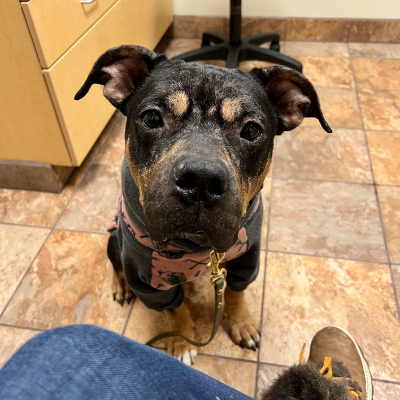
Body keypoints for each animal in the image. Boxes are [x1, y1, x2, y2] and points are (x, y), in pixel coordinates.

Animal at [76, 44, 332, 366]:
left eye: (251, 130)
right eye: (152, 118)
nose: (201, 179)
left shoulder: (247, 257)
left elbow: (236, 294)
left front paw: (242, 324)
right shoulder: (152, 282)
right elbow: (175, 310)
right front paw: (180, 343)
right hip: (115, 240)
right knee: (115, 262)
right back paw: (120, 286)